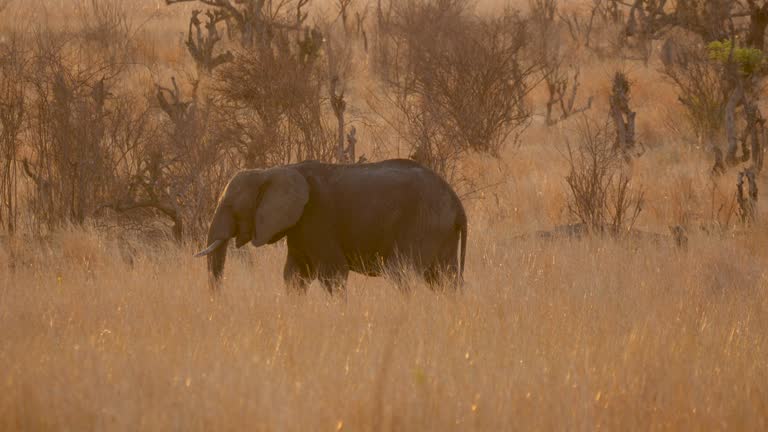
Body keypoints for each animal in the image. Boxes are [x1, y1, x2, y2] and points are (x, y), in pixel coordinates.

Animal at [194, 159, 468, 294]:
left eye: (232, 207)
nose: (219, 300)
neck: (273, 171)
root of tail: (457, 202)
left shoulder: (317, 217)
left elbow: (333, 274)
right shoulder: (298, 226)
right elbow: (294, 276)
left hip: (422, 224)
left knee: (401, 274)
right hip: (441, 230)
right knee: (444, 279)